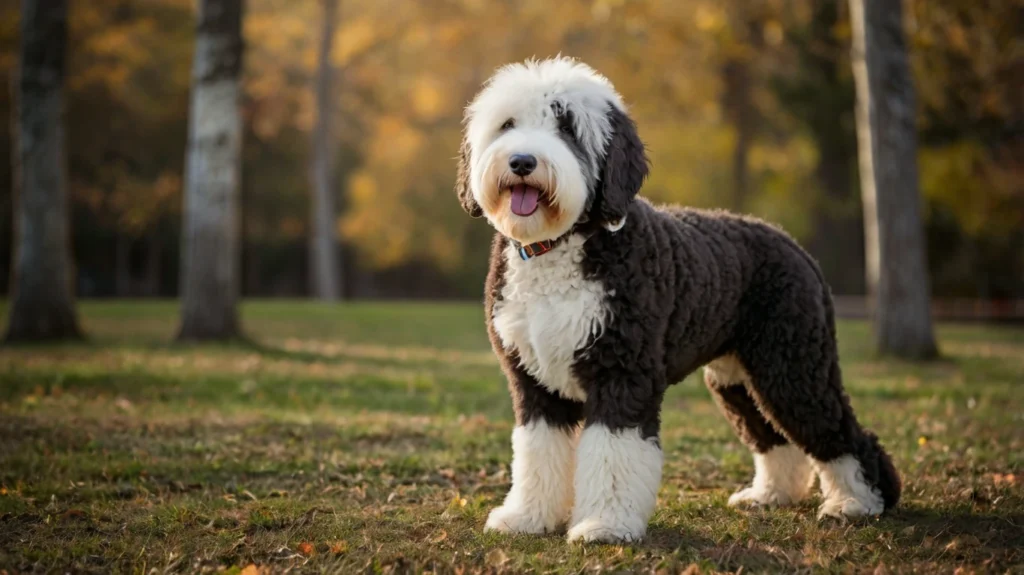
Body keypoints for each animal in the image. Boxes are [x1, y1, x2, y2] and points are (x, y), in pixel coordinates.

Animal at [452, 57, 901, 540]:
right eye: (507, 124)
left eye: (567, 126)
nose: (521, 161)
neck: (560, 245)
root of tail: (795, 247)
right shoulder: (535, 384)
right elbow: (538, 453)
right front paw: (527, 517)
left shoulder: (623, 374)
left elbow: (613, 454)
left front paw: (605, 524)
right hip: (739, 379)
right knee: (773, 437)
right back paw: (769, 495)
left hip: (793, 367)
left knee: (840, 434)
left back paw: (857, 502)